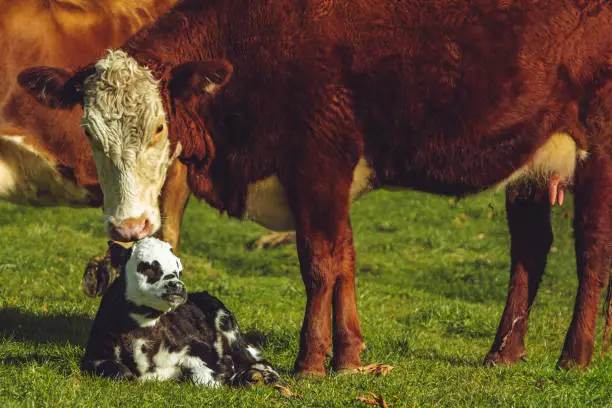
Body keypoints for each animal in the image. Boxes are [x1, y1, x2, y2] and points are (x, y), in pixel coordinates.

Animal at [81, 236, 280, 386]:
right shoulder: (94, 355)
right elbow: (122, 374)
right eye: (147, 266)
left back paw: (257, 376)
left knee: (256, 360)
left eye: (179, 271)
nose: (177, 285)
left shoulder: (197, 346)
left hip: (228, 326)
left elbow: (205, 378)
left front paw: (226, 368)